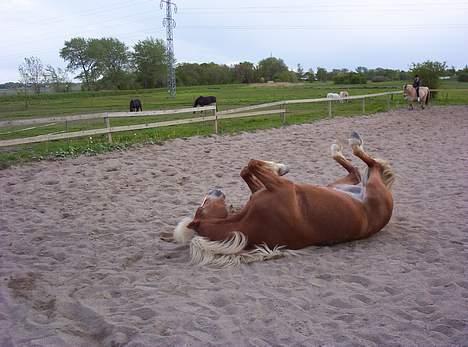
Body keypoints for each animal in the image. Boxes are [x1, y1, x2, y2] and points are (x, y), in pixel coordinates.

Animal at [174, 133, 396, 266]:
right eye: (203, 203)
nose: (215, 190)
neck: (245, 220)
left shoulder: (262, 189)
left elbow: (245, 169)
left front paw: (277, 167)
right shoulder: (283, 187)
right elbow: (252, 164)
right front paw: (280, 167)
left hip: (337, 186)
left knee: (356, 171)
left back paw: (339, 148)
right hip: (373, 187)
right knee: (372, 165)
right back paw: (353, 143)